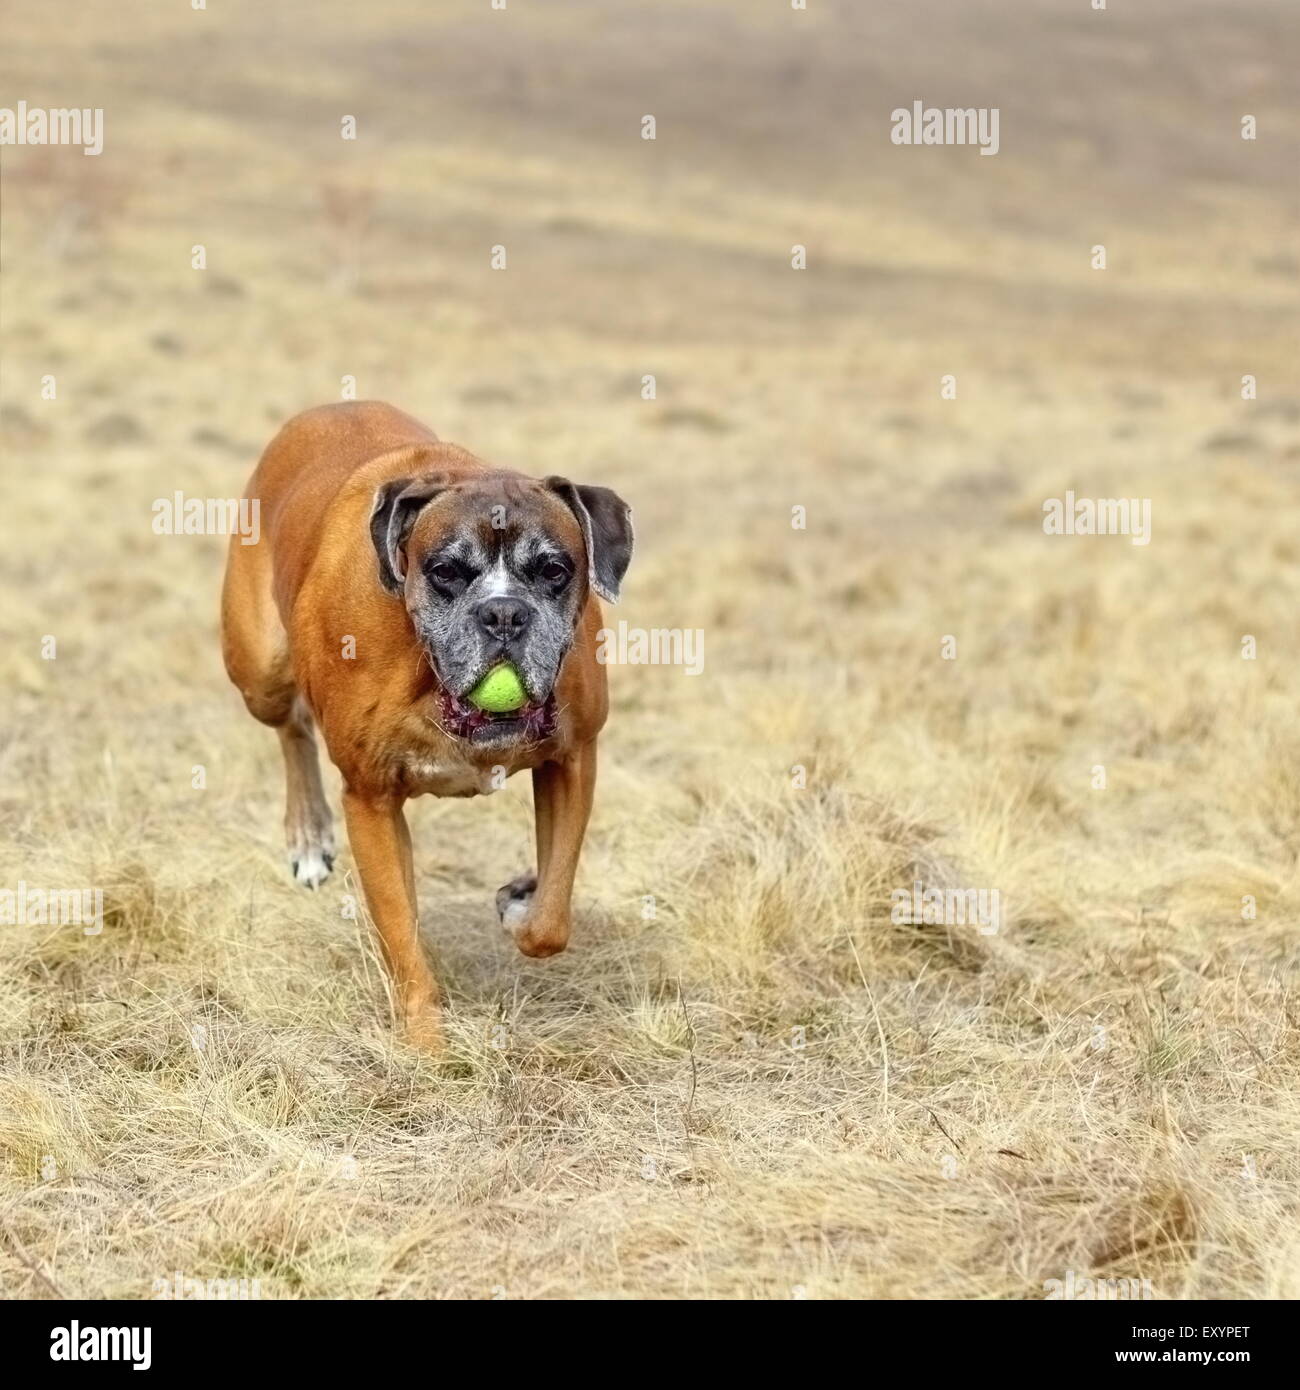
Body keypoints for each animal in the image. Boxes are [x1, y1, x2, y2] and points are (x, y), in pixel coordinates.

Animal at [222, 397, 636, 1045]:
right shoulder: (370, 800)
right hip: (260, 671)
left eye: (553, 570)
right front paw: (427, 1050)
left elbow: (551, 918)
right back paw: (309, 838)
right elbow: (403, 940)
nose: (503, 613)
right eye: (446, 571)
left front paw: (520, 900)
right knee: (291, 728)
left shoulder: (573, 759)